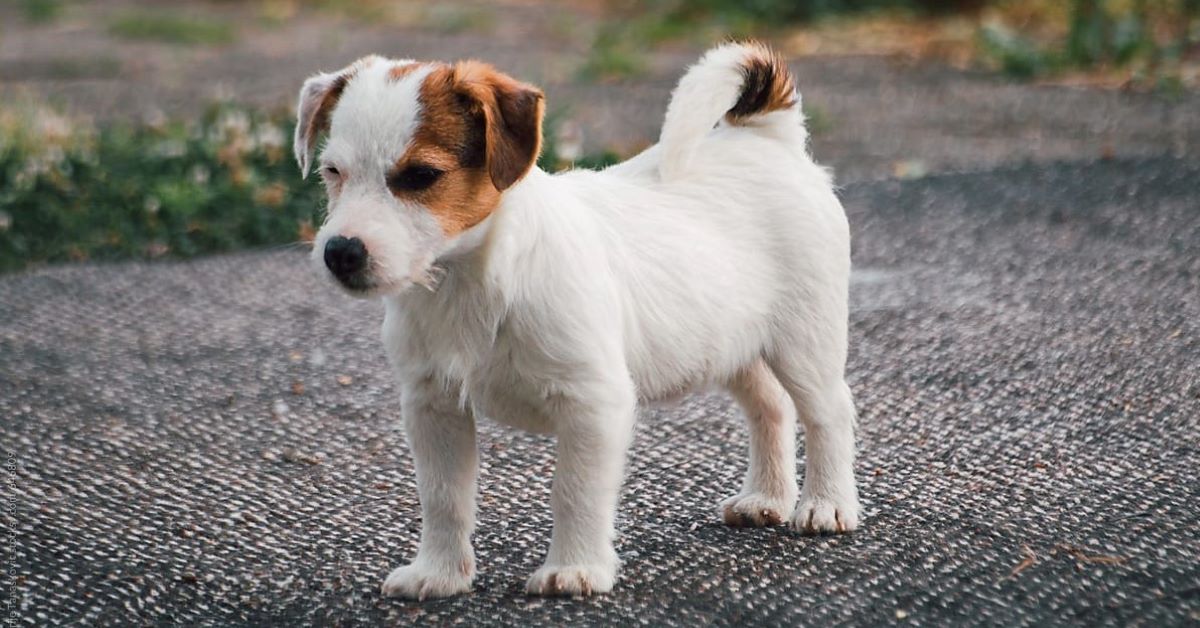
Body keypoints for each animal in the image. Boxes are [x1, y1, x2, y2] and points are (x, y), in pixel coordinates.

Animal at [291, 41, 859, 602]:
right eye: (332, 172)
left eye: (421, 176)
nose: (340, 252)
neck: (471, 279)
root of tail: (767, 137)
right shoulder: (433, 405)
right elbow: (443, 496)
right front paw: (439, 573)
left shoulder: (592, 403)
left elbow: (574, 491)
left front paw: (575, 569)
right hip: (730, 343)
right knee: (770, 407)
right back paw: (766, 497)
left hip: (805, 340)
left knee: (828, 412)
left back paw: (826, 504)